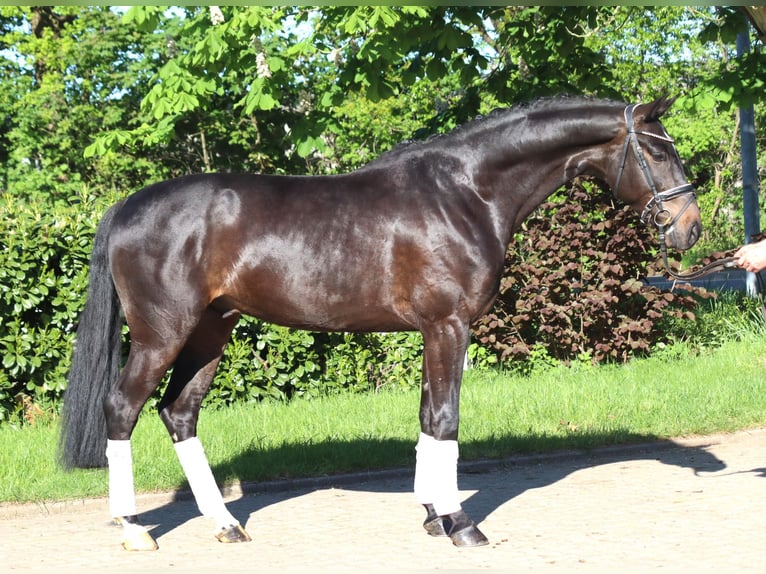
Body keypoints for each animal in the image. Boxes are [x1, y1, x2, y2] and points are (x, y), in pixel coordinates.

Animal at [60, 95, 701, 551]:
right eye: (658, 151)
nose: (690, 227)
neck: (466, 192)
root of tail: (127, 205)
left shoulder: (434, 331)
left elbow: (426, 417)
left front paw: (432, 515)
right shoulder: (449, 326)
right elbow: (445, 419)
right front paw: (461, 523)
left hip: (212, 331)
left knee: (179, 414)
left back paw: (225, 524)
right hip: (162, 335)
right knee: (123, 408)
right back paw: (133, 529)